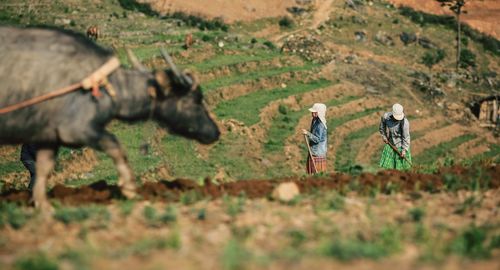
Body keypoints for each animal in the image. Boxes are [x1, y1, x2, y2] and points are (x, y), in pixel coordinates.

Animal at [0, 26, 219, 210]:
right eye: (195, 99)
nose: (215, 132)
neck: (105, 84)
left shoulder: (49, 137)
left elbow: (43, 170)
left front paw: (43, 206)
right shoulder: (77, 129)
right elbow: (116, 146)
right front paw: (129, 187)